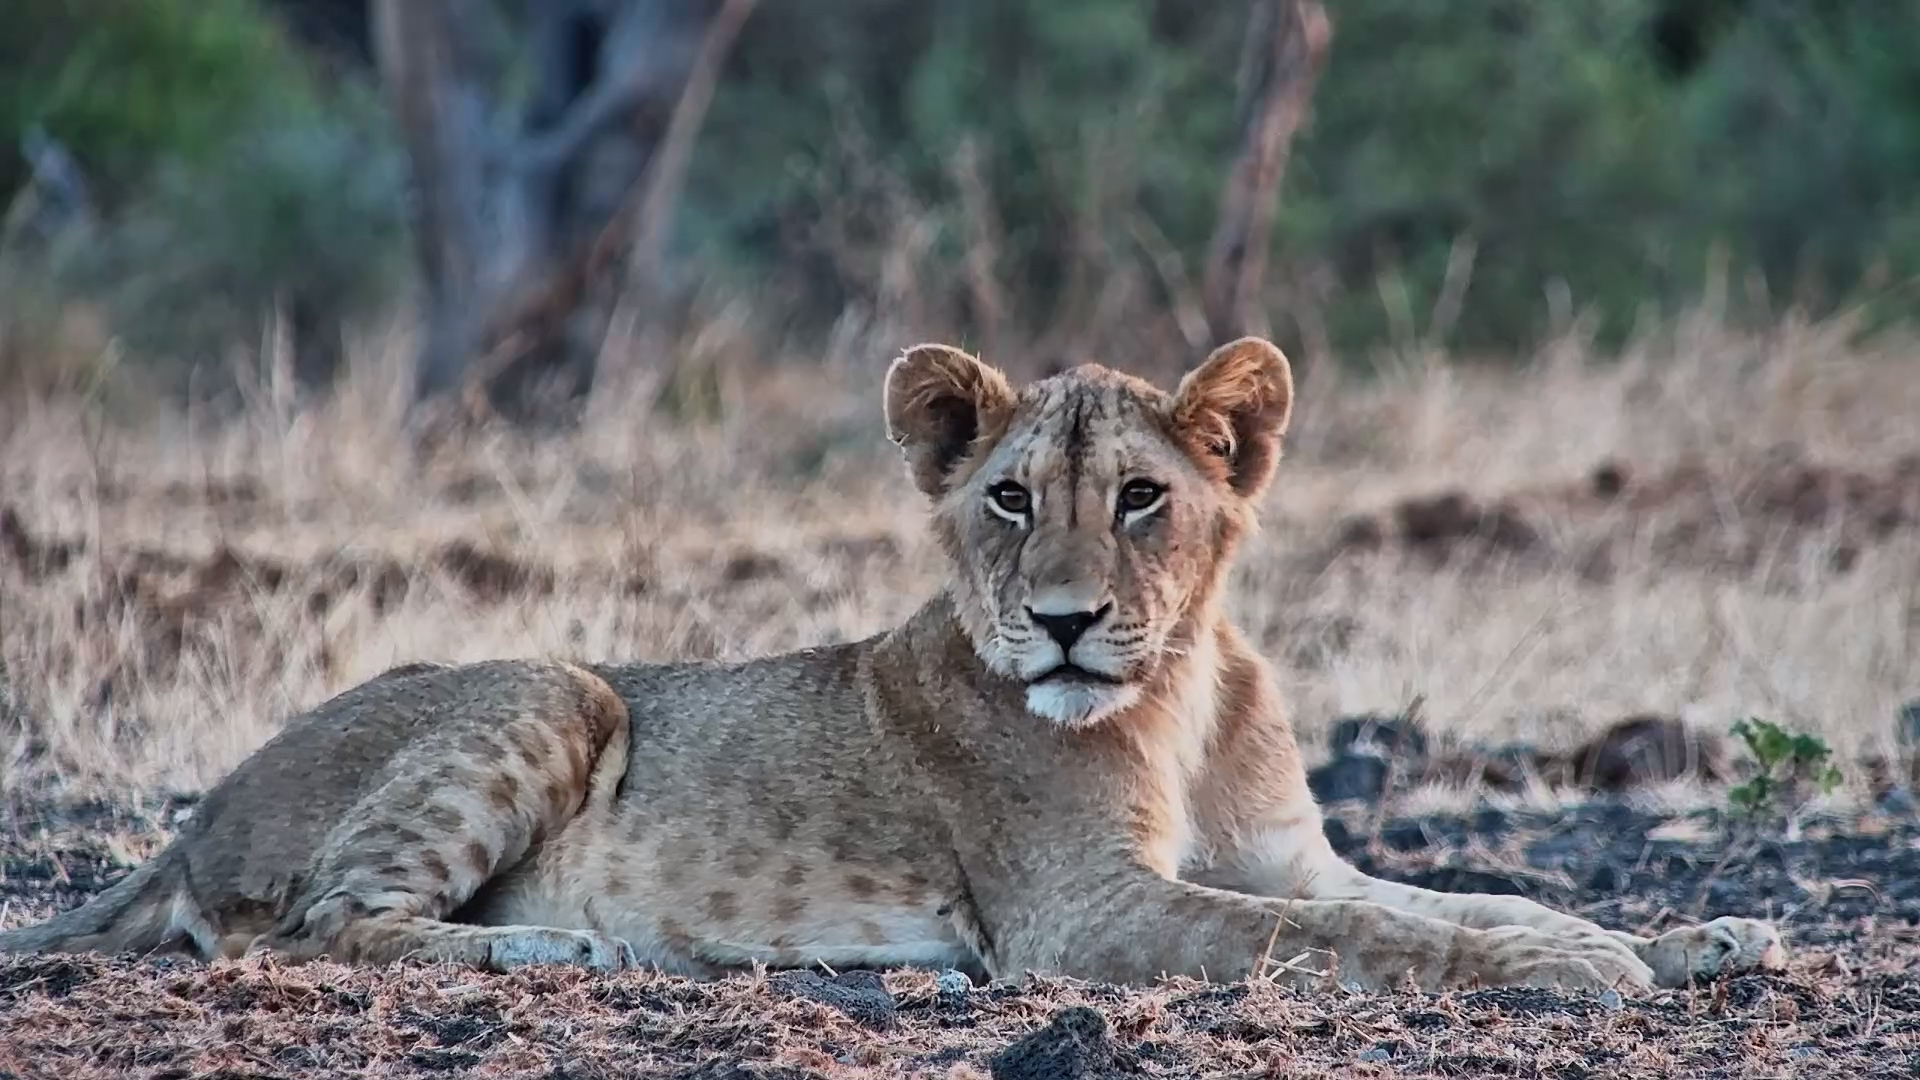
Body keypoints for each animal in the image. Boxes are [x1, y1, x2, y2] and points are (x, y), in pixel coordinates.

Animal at [0, 338, 1786, 992]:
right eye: (1009, 499)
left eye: (1143, 499)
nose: (1062, 622)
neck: (1184, 689)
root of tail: (192, 815)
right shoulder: (1083, 918)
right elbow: (1376, 941)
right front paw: (1585, 976)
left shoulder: (1293, 853)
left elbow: (1458, 899)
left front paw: (1684, 939)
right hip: (560, 683)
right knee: (311, 927)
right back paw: (571, 952)